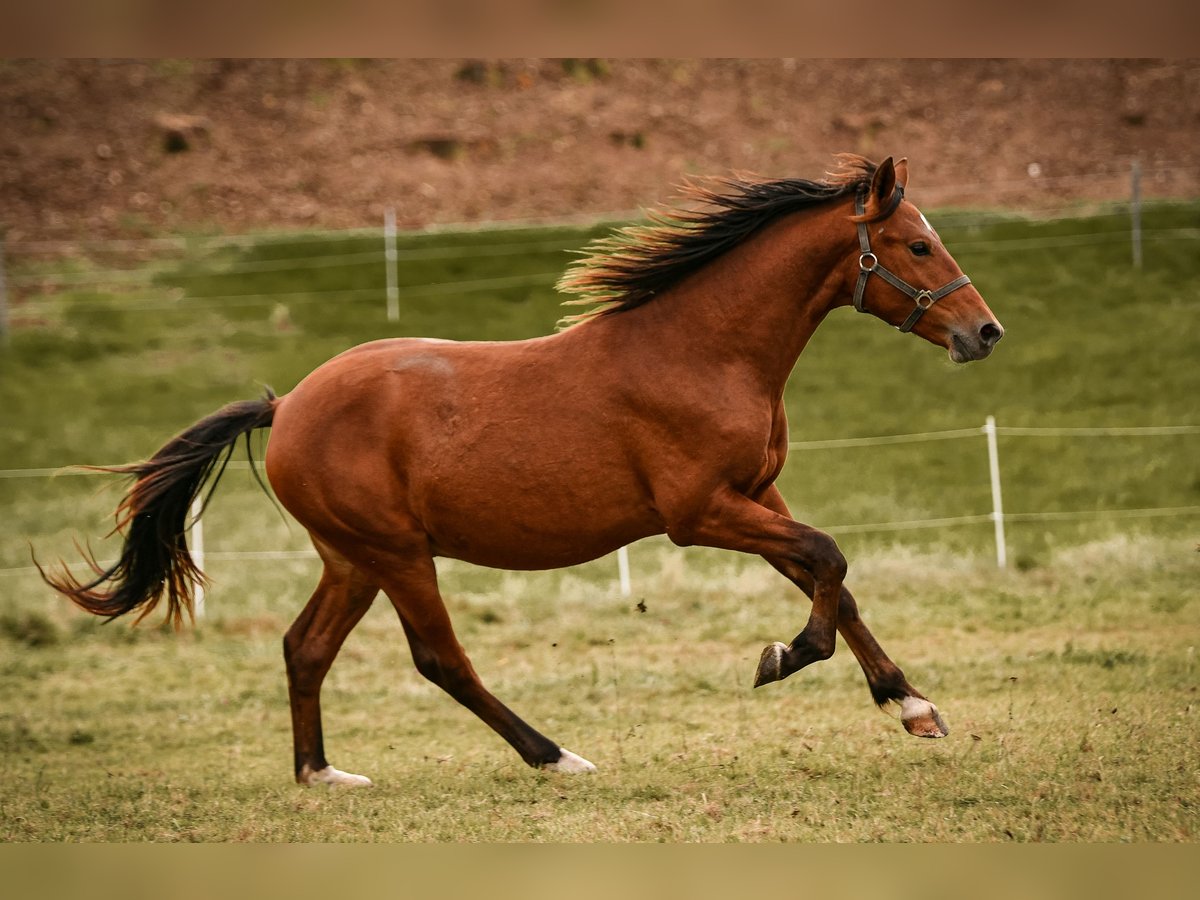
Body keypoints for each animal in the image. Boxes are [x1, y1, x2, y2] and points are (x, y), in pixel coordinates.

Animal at [41, 155, 1003, 786]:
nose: (984, 333)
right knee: (441, 659)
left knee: (304, 647)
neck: (703, 351)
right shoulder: (701, 512)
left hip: (352, 557)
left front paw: (912, 706)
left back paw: (321, 773)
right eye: (916, 245)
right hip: (397, 554)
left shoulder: (757, 495)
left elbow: (836, 581)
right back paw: (555, 755)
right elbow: (830, 561)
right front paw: (782, 657)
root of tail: (289, 406)